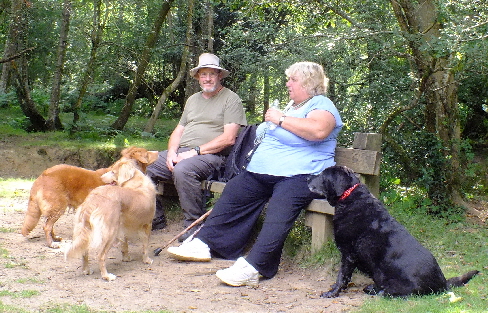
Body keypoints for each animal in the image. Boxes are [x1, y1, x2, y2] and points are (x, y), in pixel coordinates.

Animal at [19, 146, 155, 246]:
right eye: (147, 153)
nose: (157, 151)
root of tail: (42, 176)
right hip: (58, 206)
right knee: (46, 226)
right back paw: (51, 243)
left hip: (55, 208)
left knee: (49, 224)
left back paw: (55, 238)